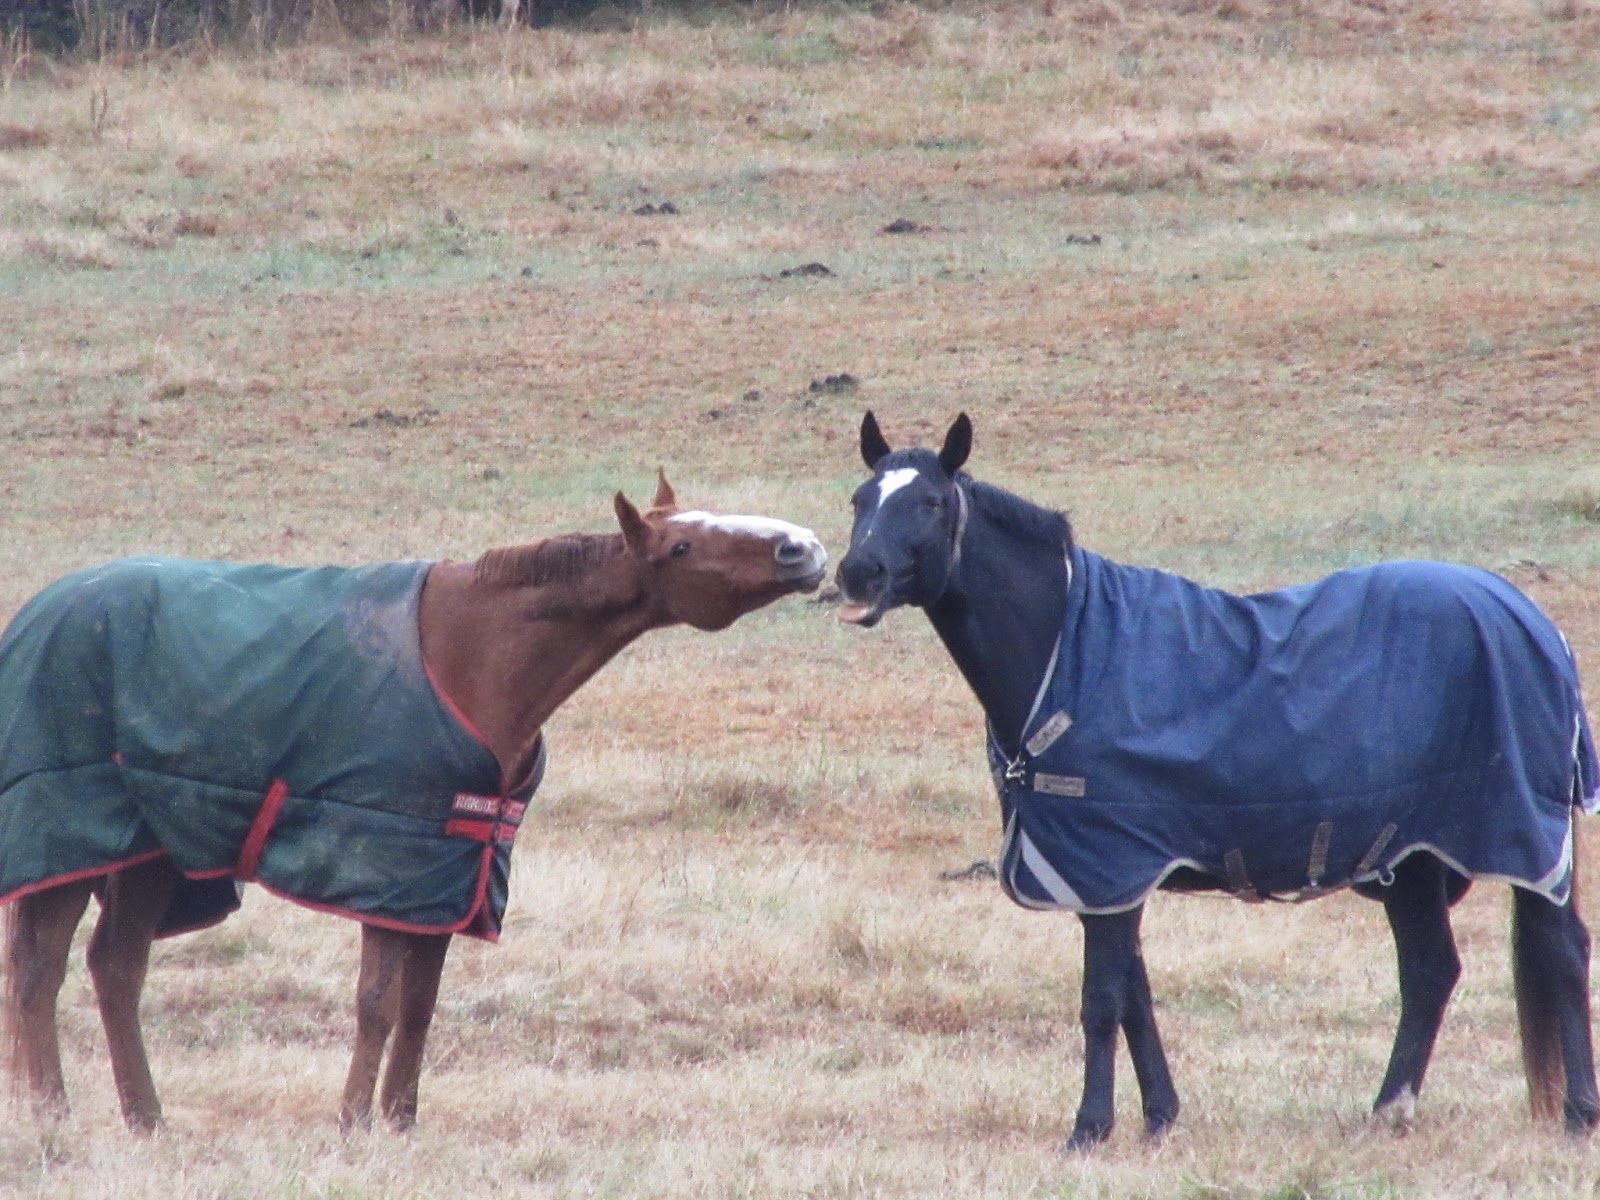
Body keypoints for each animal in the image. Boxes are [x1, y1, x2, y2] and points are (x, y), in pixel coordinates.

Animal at [1, 473, 826, 1133]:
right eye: (682, 546)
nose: (805, 548)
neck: (468, 653)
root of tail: (38, 613)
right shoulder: (388, 870)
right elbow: (376, 1002)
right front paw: (351, 1125)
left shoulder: (446, 881)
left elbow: (420, 1007)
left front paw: (398, 1124)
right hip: (71, 843)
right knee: (41, 973)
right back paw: (52, 1118)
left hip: (146, 853)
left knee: (113, 968)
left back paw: (144, 1119)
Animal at [834, 411, 1600, 1148]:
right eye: (860, 499)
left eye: (931, 502)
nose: (856, 572)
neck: (1069, 650)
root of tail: (1532, 622)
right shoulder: (1108, 871)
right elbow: (1135, 996)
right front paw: (1159, 1118)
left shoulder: (1108, 865)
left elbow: (1101, 1000)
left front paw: (1089, 1129)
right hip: (1409, 855)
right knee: (1431, 970)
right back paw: (1388, 1111)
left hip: (1523, 839)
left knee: (1560, 952)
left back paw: (1576, 1116)